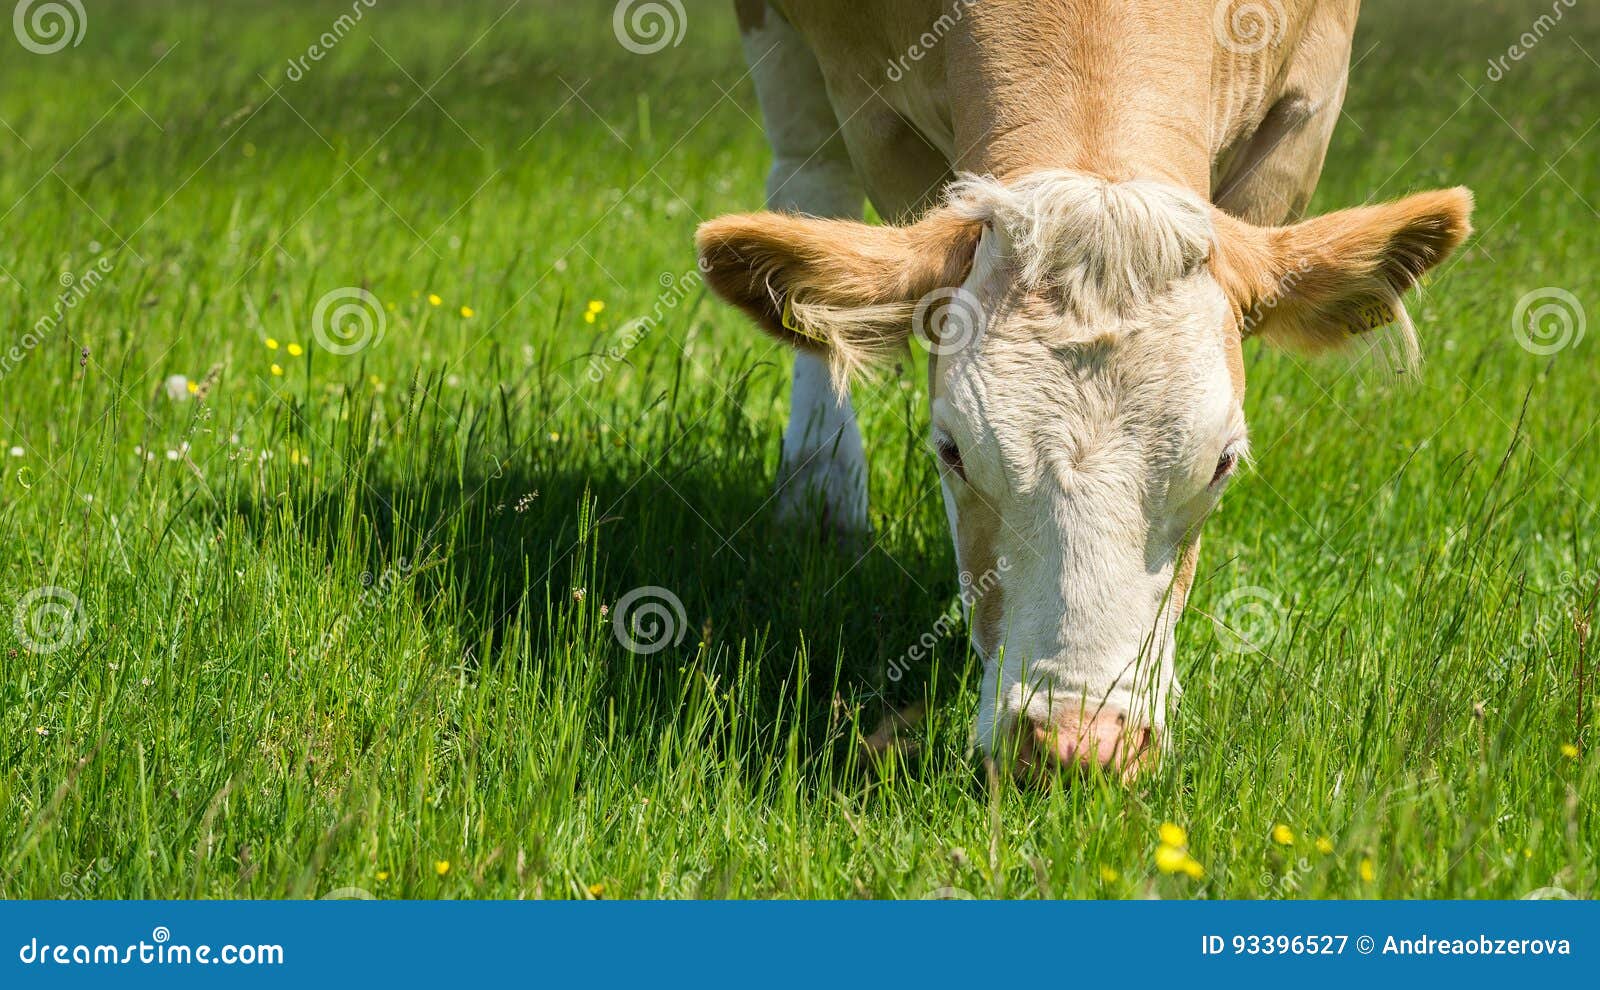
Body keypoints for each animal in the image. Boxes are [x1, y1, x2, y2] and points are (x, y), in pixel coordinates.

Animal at [695, 0, 1472, 778]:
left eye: (1222, 463)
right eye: (952, 453)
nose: (1078, 745)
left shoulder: (1305, 109)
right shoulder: (870, 111)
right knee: (807, 178)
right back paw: (819, 484)